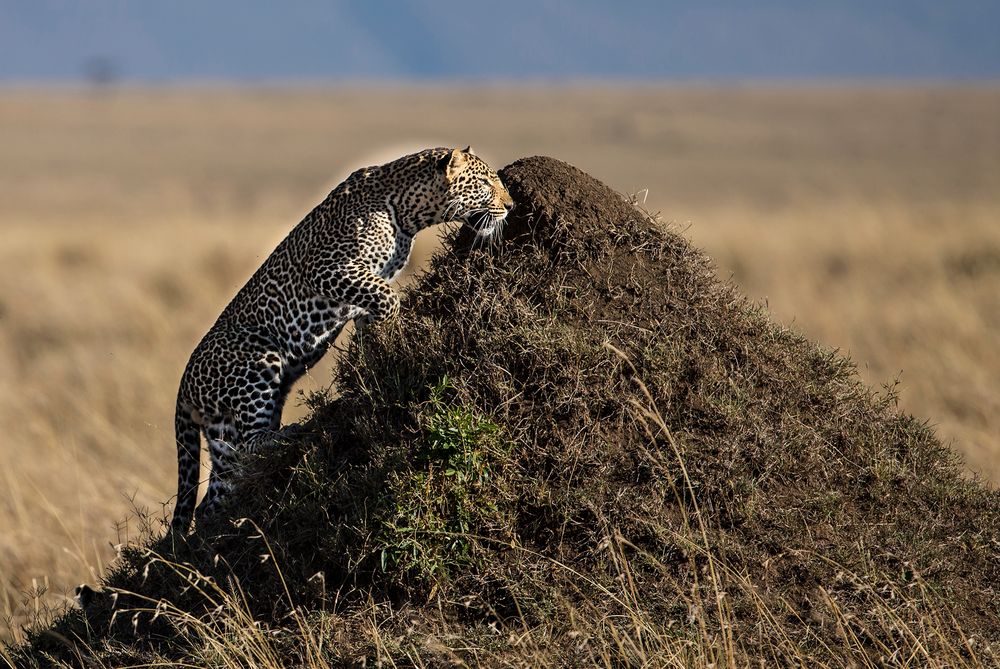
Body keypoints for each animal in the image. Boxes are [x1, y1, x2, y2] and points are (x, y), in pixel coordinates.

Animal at [170, 146, 508, 532]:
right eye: (486, 183)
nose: (511, 205)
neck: (408, 211)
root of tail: (183, 387)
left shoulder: (365, 284)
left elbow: (370, 319)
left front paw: (376, 356)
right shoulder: (329, 270)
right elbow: (389, 298)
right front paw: (390, 335)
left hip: (221, 435)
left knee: (214, 495)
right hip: (257, 358)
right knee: (250, 443)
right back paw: (290, 433)